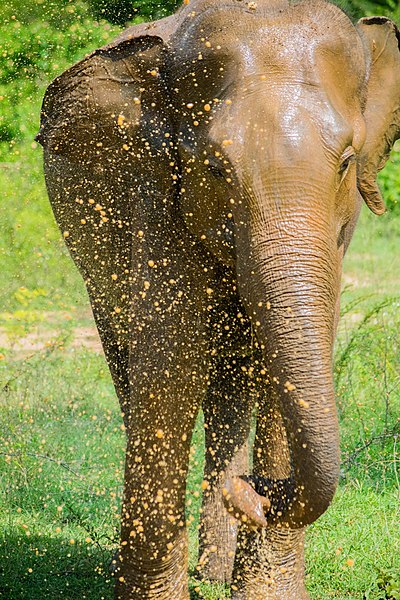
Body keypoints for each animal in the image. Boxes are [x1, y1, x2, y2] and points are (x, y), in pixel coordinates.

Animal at [35, 2, 400, 596]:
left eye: (347, 162)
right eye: (214, 168)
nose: (252, 490)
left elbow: (286, 366)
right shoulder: (156, 187)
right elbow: (171, 360)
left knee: (231, 381)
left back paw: (214, 567)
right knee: (131, 366)